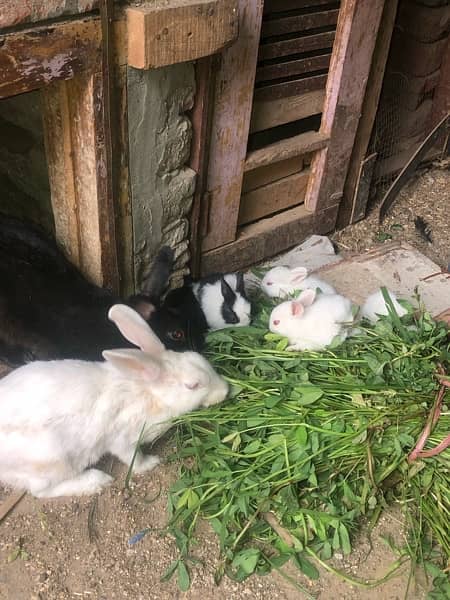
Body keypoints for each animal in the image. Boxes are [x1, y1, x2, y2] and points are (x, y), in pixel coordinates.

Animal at [0, 304, 229, 496]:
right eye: (193, 385)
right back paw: (96, 481)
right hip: (54, 461)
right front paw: (151, 463)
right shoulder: (123, 440)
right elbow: (133, 459)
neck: (150, 392)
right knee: (41, 491)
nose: (225, 390)